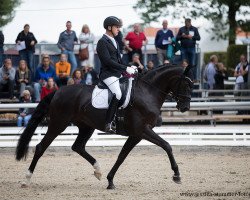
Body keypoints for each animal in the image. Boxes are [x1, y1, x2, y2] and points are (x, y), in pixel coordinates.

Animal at [15, 65, 193, 189]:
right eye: (186, 84)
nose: (185, 107)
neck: (147, 92)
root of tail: (58, 91)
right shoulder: (143, 130)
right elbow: (167, 145)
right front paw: (177, 175)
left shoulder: (136, 135)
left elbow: (122, 156)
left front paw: (110, 181)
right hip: (58, 123)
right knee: (41, 147)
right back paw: (26, 180)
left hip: (86, 127)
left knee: (78, 147)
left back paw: (98, 170)